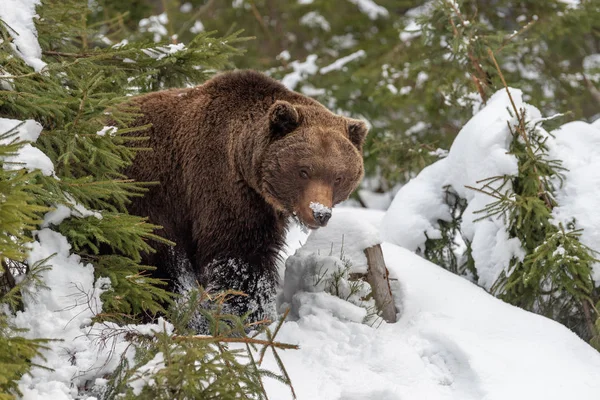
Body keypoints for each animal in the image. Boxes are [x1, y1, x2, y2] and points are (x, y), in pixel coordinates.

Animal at [125, 69, 368, 318]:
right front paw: (243, 312)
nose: (320, 213)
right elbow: (241, 258)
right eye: (304, 171)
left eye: (338, 177)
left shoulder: (262, 205)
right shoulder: (219, 187)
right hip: (140, 197)